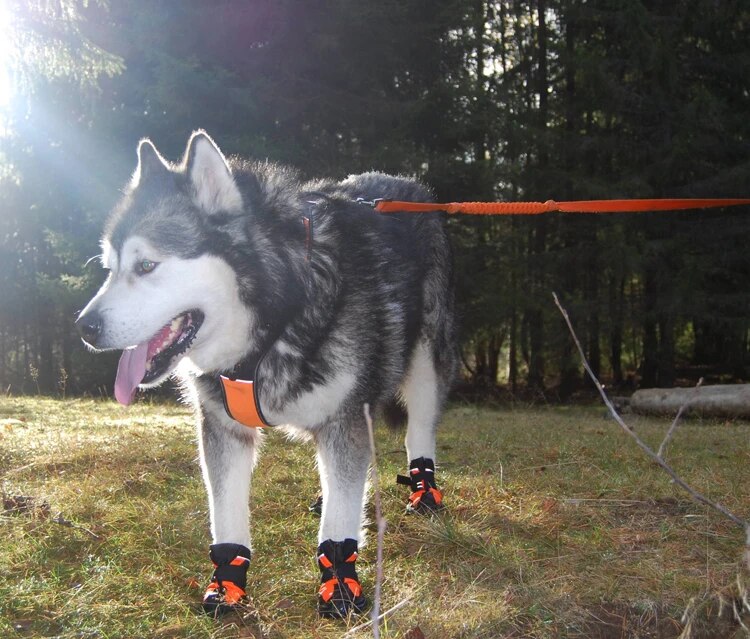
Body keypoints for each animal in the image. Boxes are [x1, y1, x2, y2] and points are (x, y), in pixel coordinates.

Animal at [79, 131, 462, 620]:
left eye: (146, 266)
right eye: (109, 268)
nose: (84, 327)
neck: (272, 326)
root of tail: (406, 185)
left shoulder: (343, 419)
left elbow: (339, 523)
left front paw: (339, 582)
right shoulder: (222, 429)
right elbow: (226, 513)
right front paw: (227, 584)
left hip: (426, 365)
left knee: (418, 432)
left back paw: (423, 490)